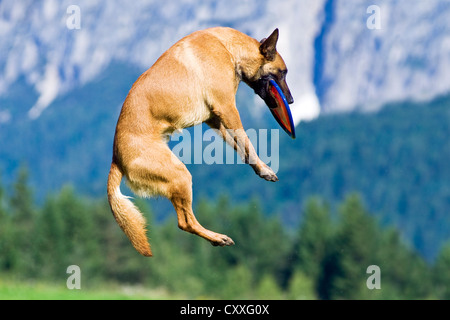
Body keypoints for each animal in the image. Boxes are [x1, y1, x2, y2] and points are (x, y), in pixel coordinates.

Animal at [107, 27, 294, 258]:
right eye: (283, 73)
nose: (291, 101)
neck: (229, 49)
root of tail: (116, 159)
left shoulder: (215, 119)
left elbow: (239, 145)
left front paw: (260, 168)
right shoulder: (227, 108)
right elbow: (246, 139)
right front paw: (264, 167)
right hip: (180, 175)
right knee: (185, 222)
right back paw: (218, 238)